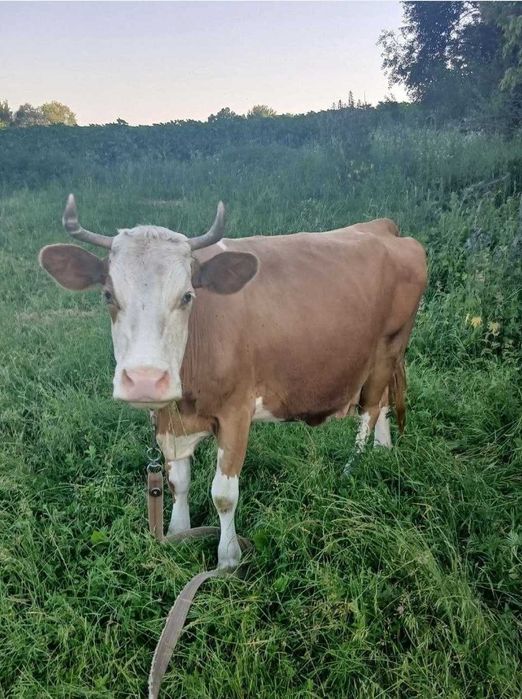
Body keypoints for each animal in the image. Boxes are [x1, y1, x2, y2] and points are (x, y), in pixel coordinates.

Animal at [39, 195, 427, 570]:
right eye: (108, 295)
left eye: (187, 296)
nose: (145, 380)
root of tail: (382, 227)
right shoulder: (170, 421)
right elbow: (177, 481)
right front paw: (178, 531)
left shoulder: (236, 411)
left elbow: (223, 495)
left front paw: (228, 558)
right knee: (383, 403)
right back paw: (383, 451)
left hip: (387, 347)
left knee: (369, 409)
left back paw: (351, 471)